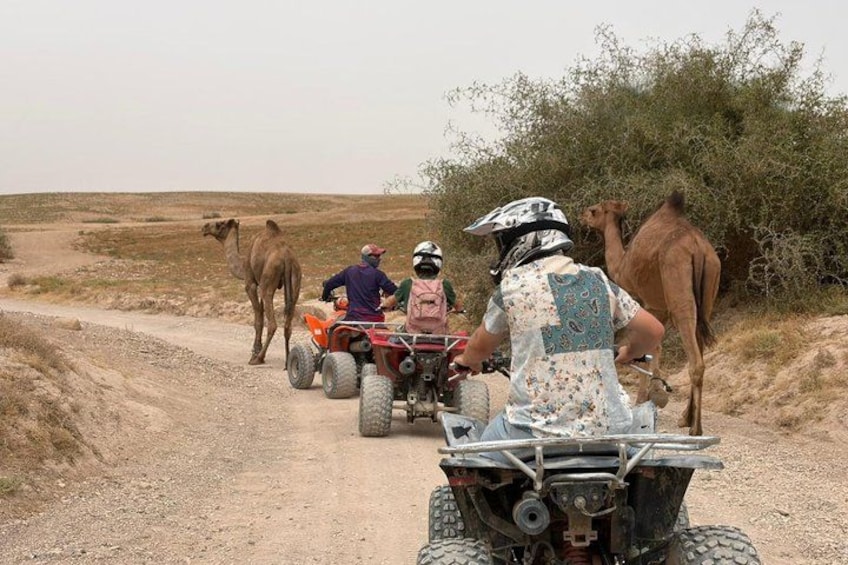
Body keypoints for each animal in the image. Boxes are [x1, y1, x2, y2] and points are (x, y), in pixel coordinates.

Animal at [202, 218, 302, 366]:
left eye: (220, 224)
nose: (204, 227)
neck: (243, 264)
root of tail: (287, 257)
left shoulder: (251, 283)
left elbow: (257, 320)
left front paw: (254, 353)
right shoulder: (260, 283)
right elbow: (260, 312)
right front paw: (256, 349)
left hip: (269, 279)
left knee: (272, 324)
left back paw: (258, 358)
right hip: (296, 280)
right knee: (288, 324)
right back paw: (287, 361)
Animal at [579, 191, 721, 436]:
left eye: (593, 210)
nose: (581, 216)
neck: (621, 265)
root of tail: (698, 248)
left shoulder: (643, 301)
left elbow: (648, 348)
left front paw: (646, 398)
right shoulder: (659, 306)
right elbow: (655, 347)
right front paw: (655, 394)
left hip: (679, 292)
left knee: (696, 360)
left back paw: (696, 428)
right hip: (709, 291)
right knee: (700, 346)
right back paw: (686, 417)